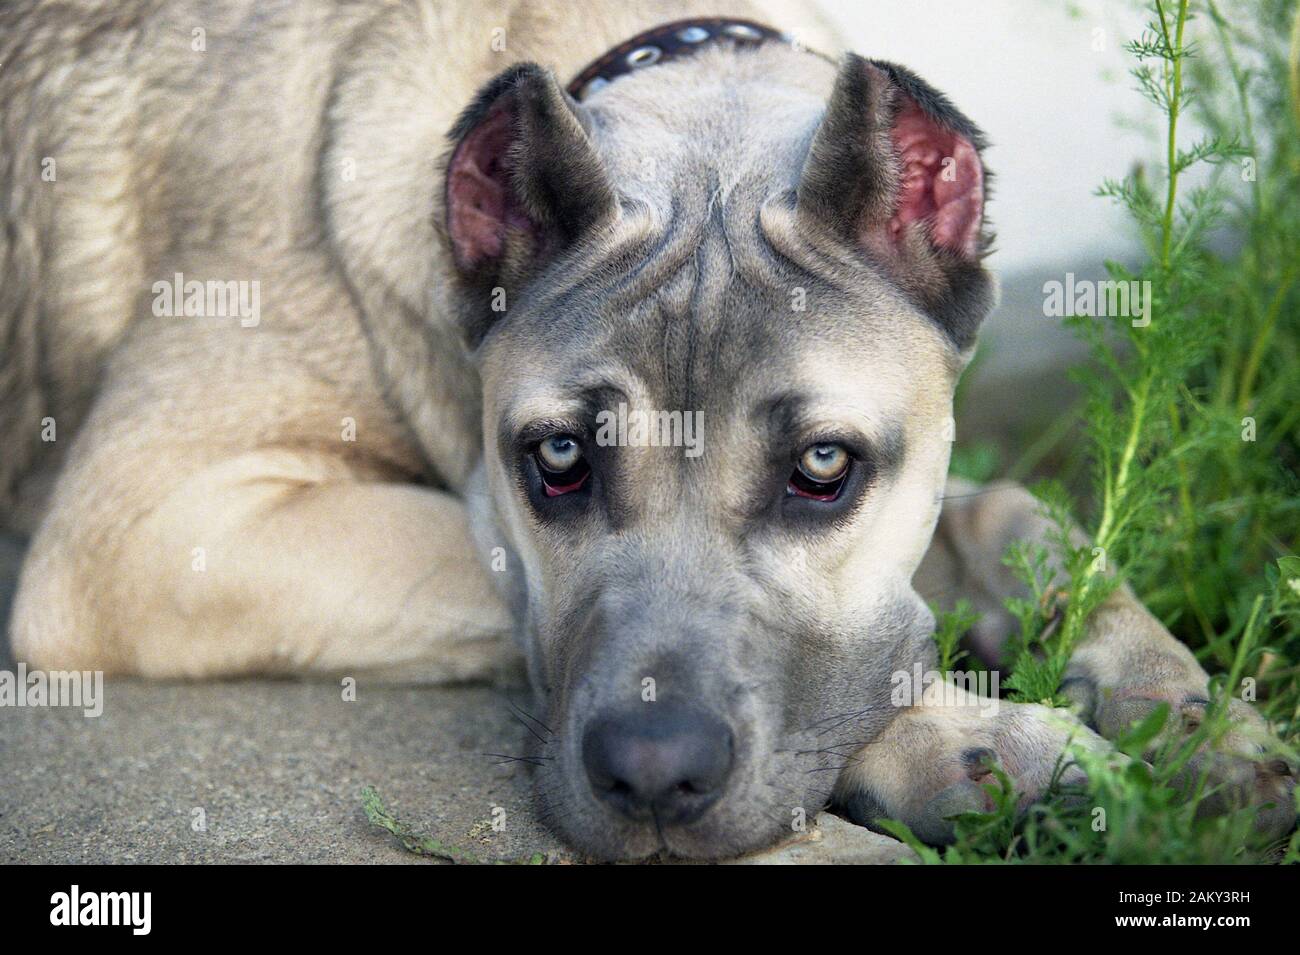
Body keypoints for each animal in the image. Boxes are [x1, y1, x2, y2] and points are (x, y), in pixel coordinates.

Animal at [0, 0, 1289, 862]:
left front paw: (1180, 701)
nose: (655, 778)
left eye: (824, 467)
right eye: (559, 459)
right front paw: (959, 738)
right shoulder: (149, 533)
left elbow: (1007, 511)